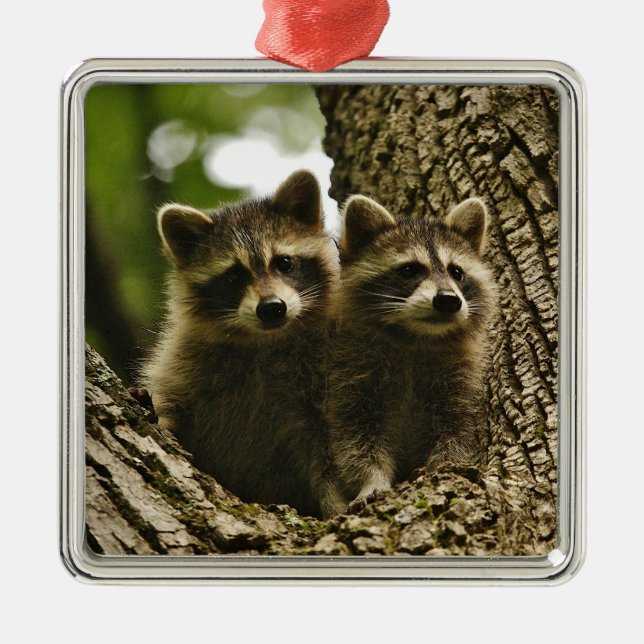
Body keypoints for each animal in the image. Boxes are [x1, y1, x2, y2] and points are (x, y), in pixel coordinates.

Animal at [142, 170, 339, 518]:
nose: (272, 307)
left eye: (284, 263)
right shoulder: (185, 360)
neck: (265, 341)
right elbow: (171, 399)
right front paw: (163, 422)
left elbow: (327, 448)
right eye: (233, 277)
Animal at [321, 195, 496, 517]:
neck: (416, 337)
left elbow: (457, 432)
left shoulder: (458, 379)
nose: (449, 301)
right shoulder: (348, 371)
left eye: (456, 272)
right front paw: (371, 480)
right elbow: (355, 441)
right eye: (409, 270)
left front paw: (446, 467)